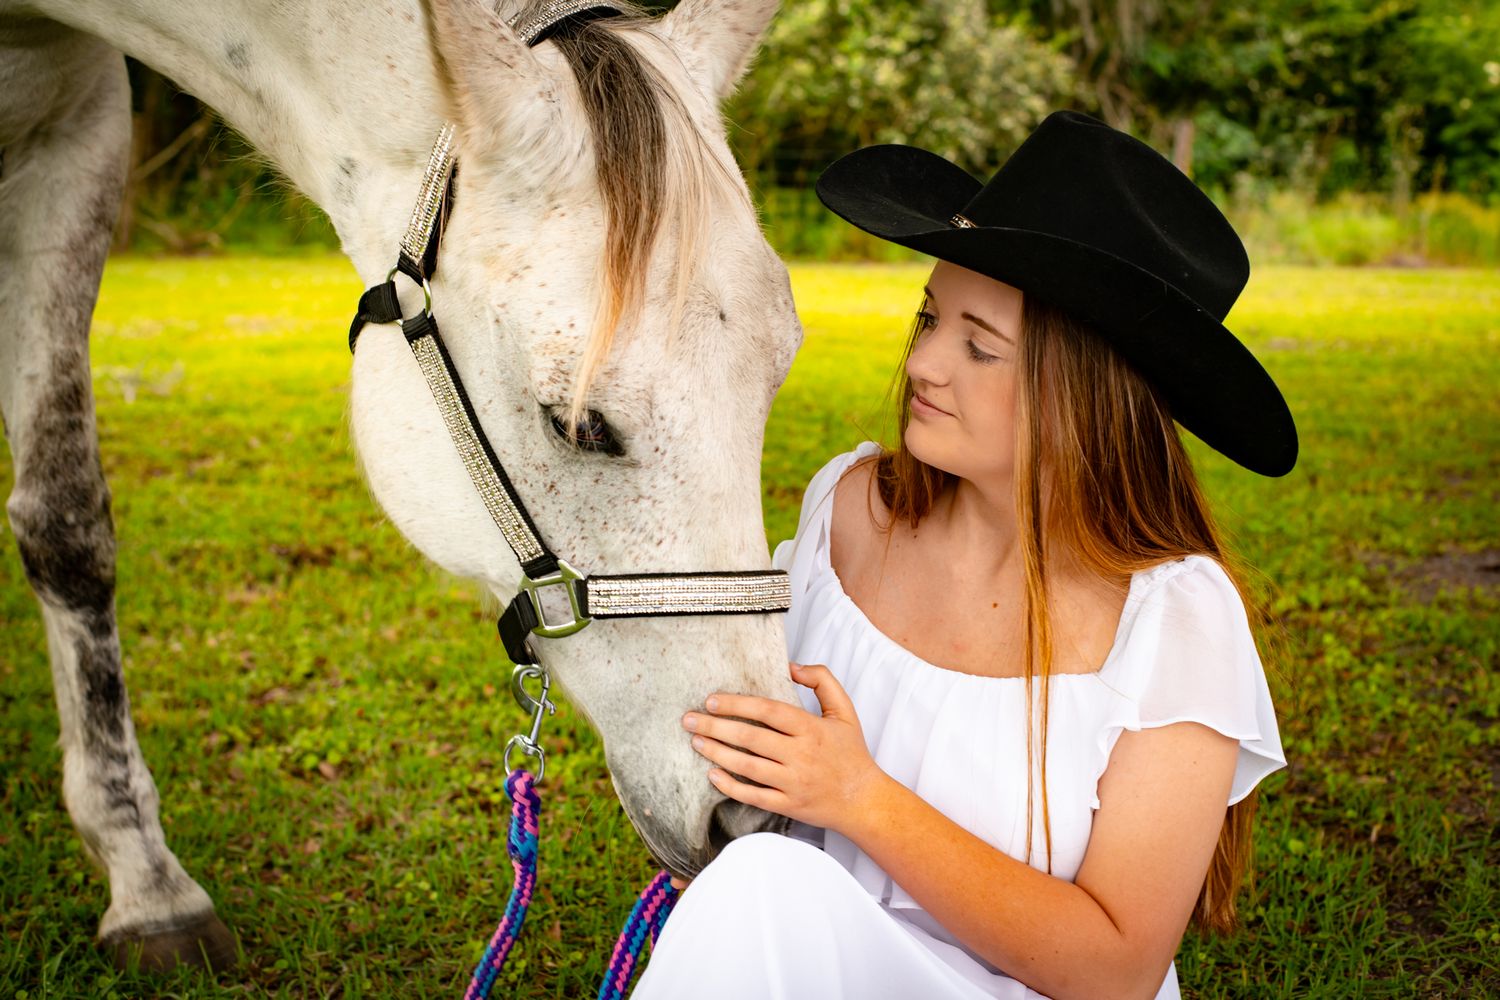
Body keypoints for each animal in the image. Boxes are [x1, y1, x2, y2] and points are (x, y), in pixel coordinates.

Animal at [0, 0, 803, 970]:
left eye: (774, 380)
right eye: (576, 425)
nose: (753, 816)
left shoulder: (75, 129)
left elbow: (66, 522)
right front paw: (146, 885)